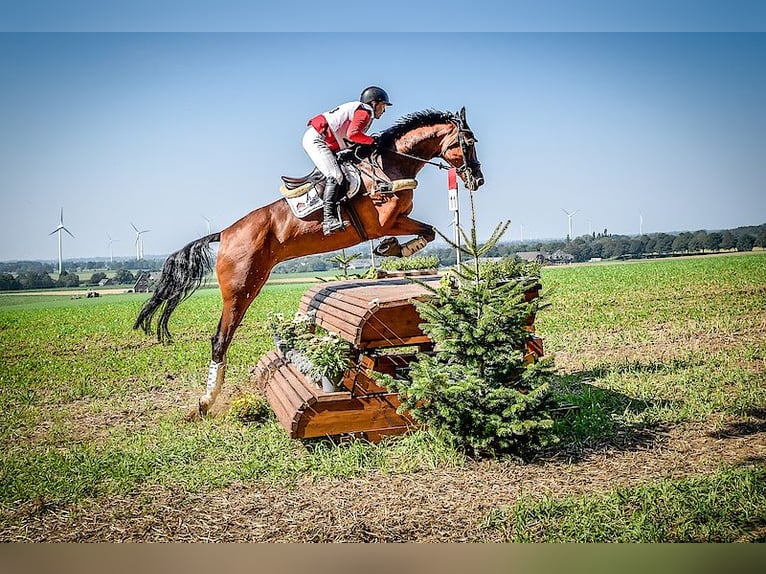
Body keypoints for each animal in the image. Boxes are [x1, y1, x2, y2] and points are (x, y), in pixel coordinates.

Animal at [134, 107, 486, 414]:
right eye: (468, 142)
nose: (477, 181)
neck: (390, 164)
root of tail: (225, 233)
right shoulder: (385, 220)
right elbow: (420, 230)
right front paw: (391, 248)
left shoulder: (399, 220)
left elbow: (429, 231)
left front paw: (396, 250)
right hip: (241, 288)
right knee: (221, 338)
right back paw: (207, 401)